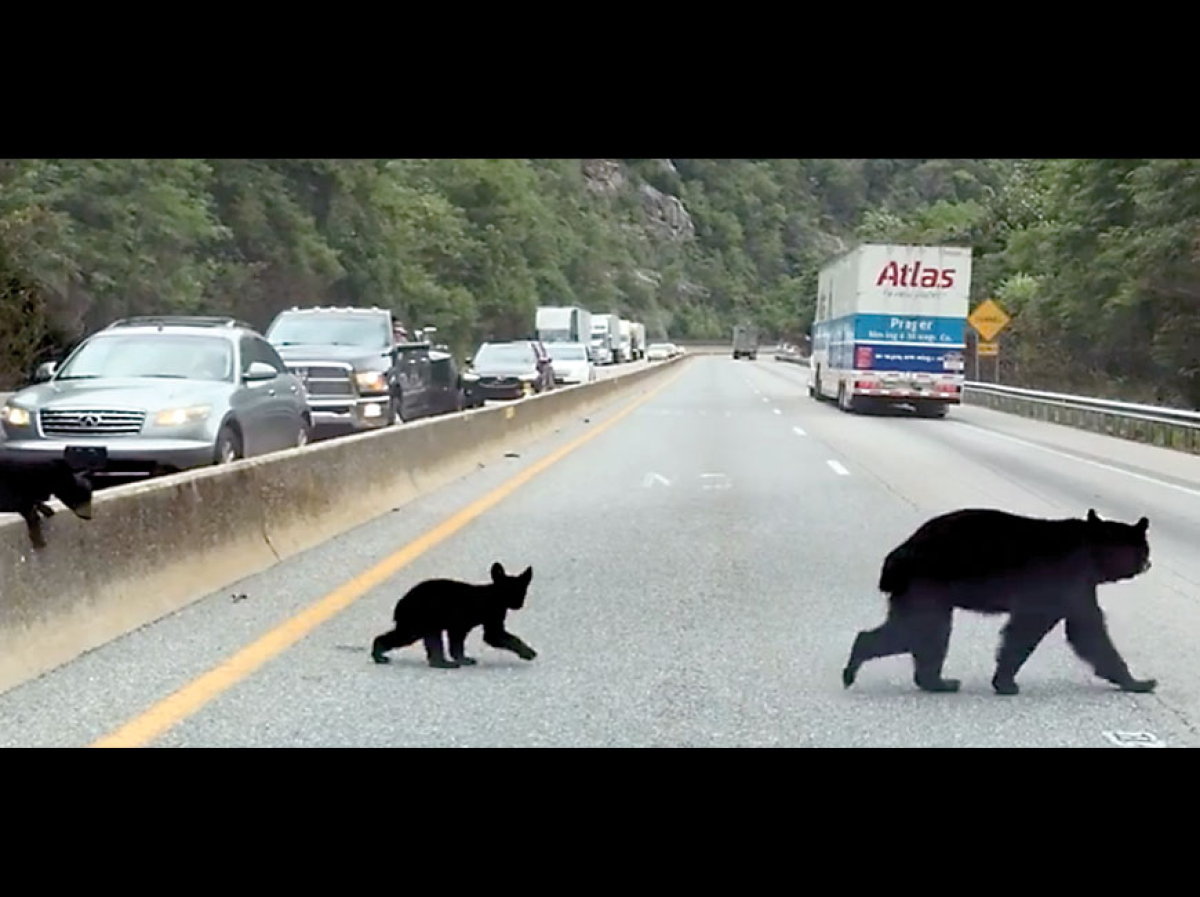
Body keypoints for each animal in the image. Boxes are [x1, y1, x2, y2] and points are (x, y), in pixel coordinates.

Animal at [367, 561, 532, 666]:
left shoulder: (463, 625)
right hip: (421, 619)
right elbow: (495, 636)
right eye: (510, 591)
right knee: (424, 639)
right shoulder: (473, 619)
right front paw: (529, 652)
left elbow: (459, 643)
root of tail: (401, 602)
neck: (494, 597)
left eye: (522, 592)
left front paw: (463, 659)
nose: (518, 605)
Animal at [840, 510, 1156, 695]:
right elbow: (1070, 630)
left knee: (916, 632)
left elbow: (1081, 627)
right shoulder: (1063, 581)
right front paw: (1140, 682)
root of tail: (899, 552)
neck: (1091, 552)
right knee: (922, 631)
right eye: (1144, 548)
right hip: (927, 583)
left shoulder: (1077, 587)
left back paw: (932, 681)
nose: (1148, 563)